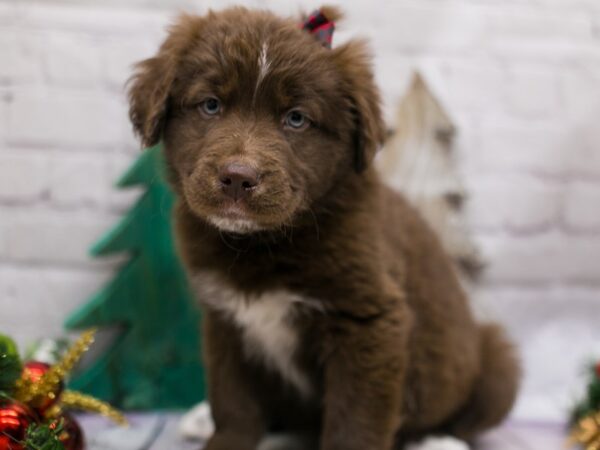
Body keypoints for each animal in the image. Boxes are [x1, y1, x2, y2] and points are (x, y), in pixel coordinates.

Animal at [127, 7, 520, 450]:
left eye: (296, 118)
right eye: (210, 105)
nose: (238, 178)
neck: (264, 243)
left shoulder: (368, 319)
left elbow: (355, 418)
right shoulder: (226, 318)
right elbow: (233, 399)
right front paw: (226, 439)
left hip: (495, 363)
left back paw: (438, 440)